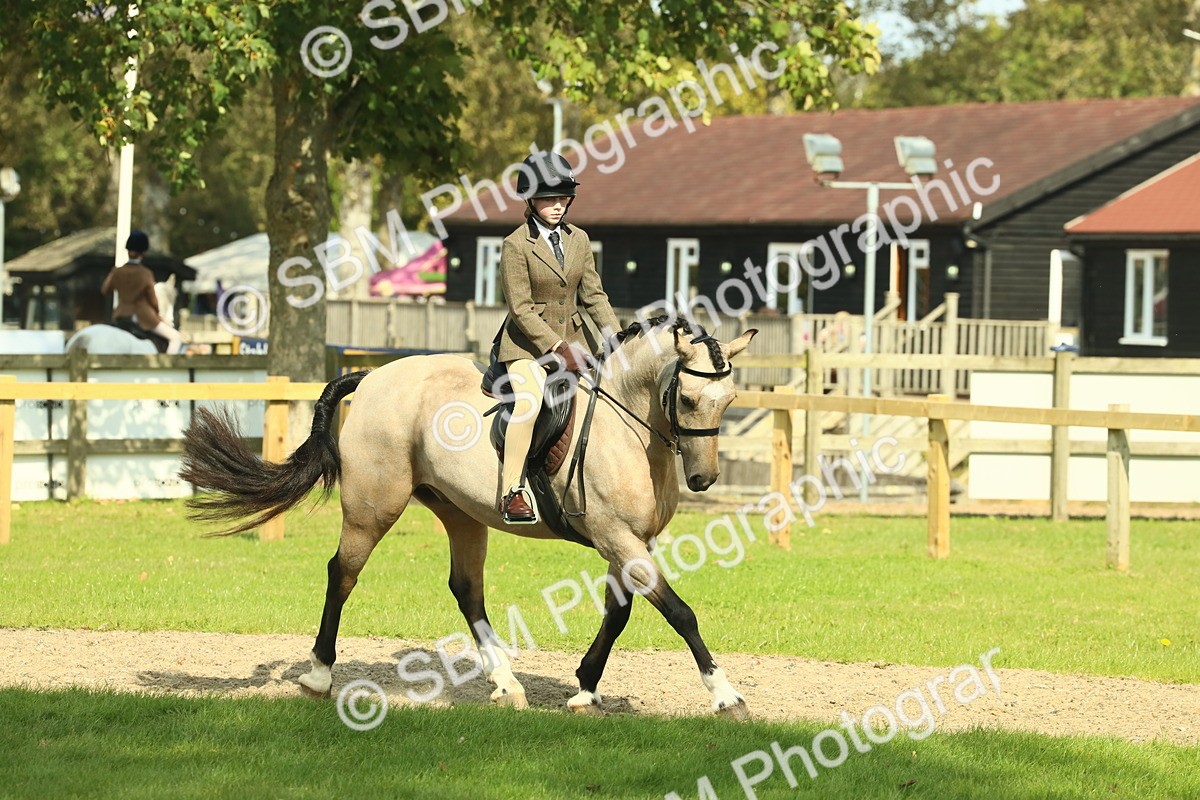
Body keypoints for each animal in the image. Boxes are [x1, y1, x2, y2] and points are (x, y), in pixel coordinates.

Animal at [179, 315, 758, 717]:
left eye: (730, 399)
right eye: (688, 398)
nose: (704, 479)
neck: (629, 431)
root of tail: (374, 377)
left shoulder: (632, 540)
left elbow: (619, 614)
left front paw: (585, 688)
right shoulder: (617, 536)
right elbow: (679, 612)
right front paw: (725, 696)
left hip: (459, 512)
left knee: (466, 589)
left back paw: (505, 682)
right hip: (373, 506)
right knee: (342, 573)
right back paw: (319, 677)